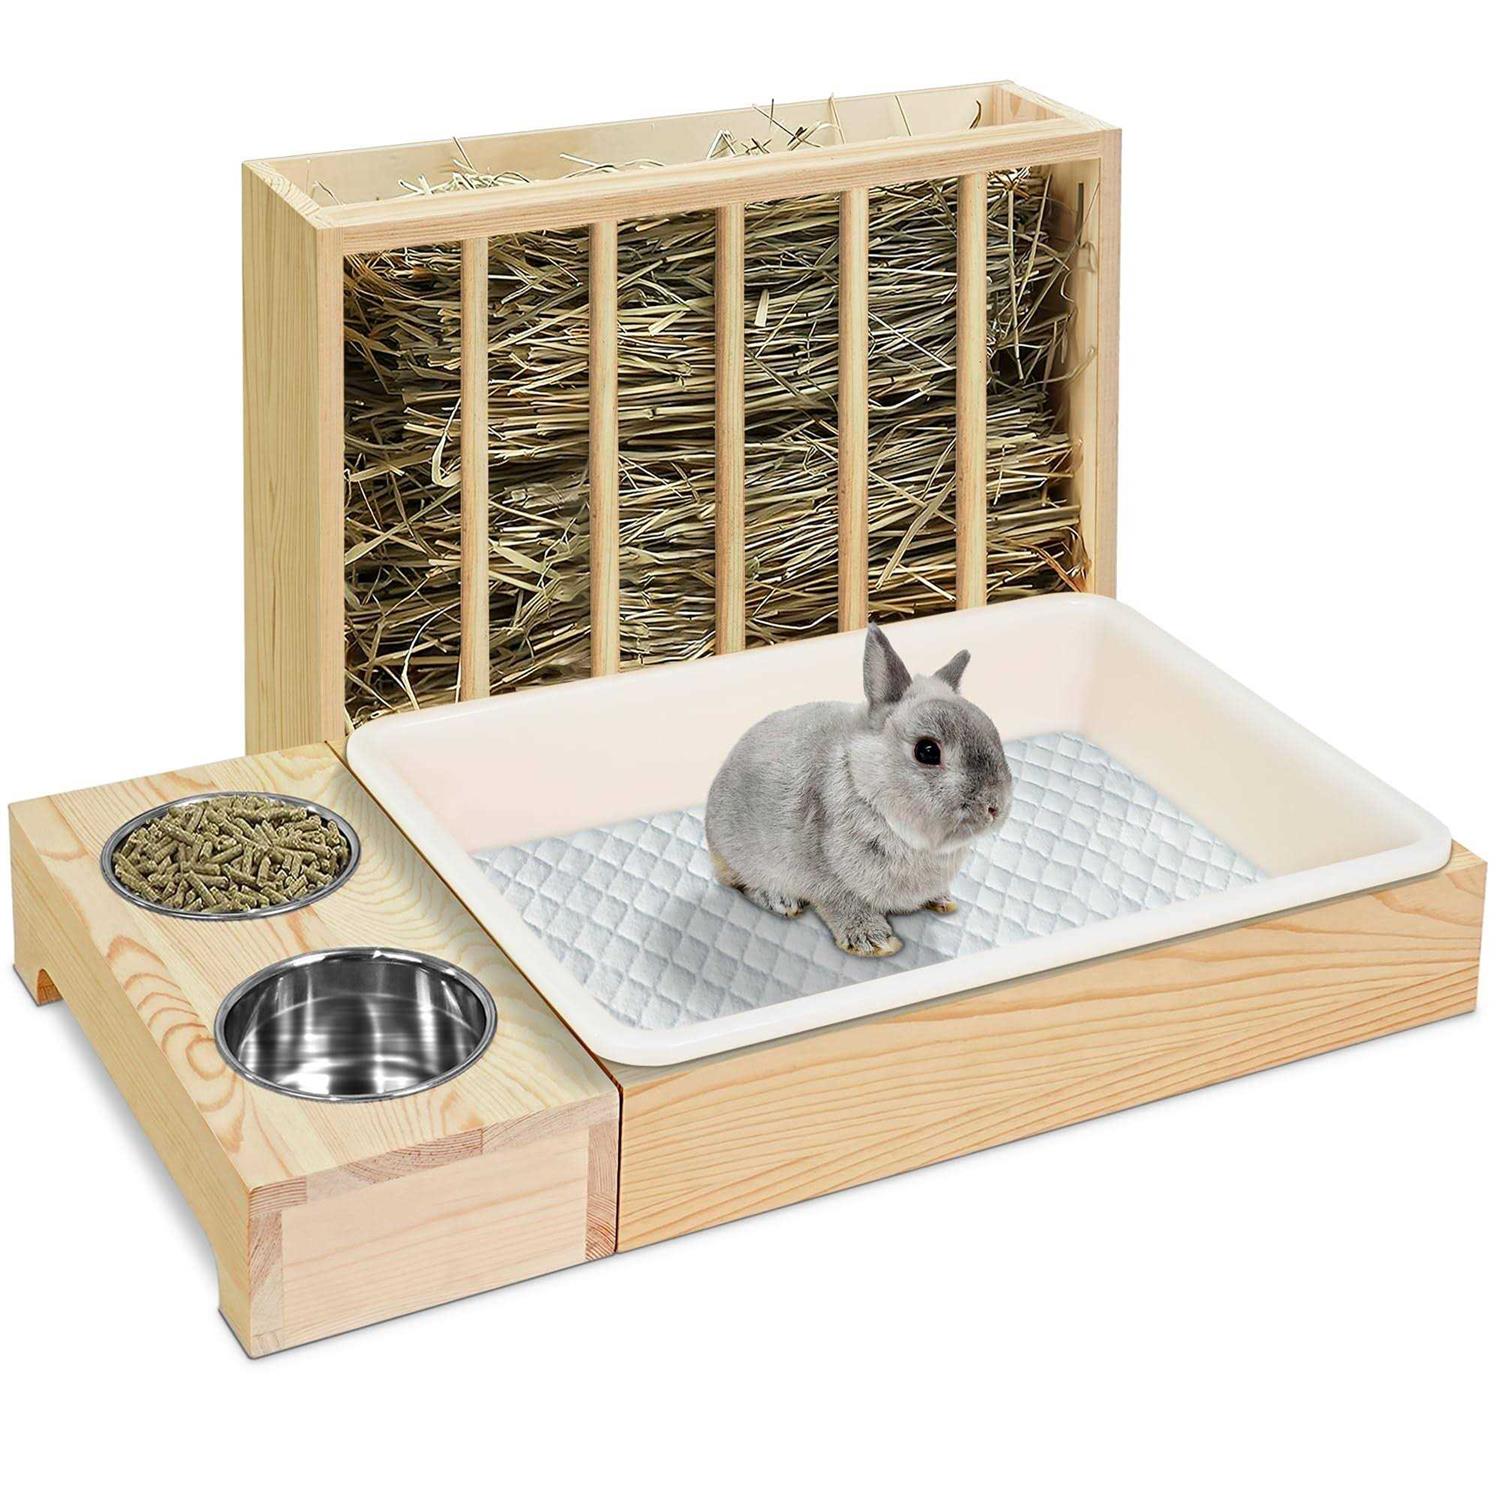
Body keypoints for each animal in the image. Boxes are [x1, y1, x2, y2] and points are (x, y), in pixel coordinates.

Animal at [705, 623, 1014, 958]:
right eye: (927, 751)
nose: (995, 807)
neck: (864, 784)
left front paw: (941, 900)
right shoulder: (827, 878)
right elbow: (843, 904)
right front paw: (875, 942)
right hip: (738, 854)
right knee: (741, 882)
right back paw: (781, 901)